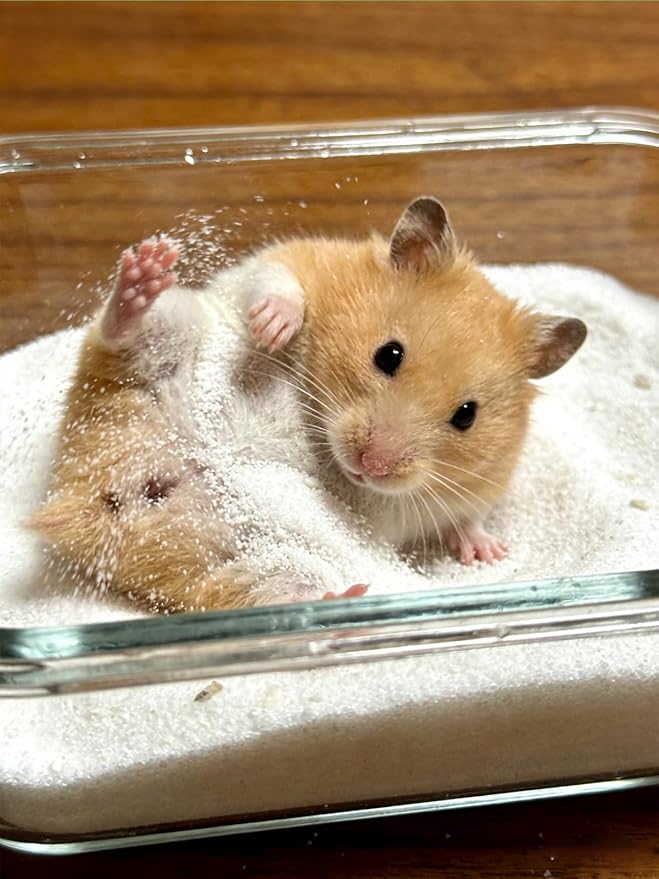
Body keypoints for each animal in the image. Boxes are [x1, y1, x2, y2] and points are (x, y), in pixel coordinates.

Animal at [31, 197, 587, 613]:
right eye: (388, 354)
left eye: (467, 416)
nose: (372, 465)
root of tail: (92, 496)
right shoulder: (290, 259)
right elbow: (281, 284)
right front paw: (274, 327)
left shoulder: (476, 486)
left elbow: (468, 518)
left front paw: (488, 554)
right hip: (163, 337)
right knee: (117, 333)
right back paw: (143, 273)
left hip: (245, 562)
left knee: (251, 592)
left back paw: (340, 599)